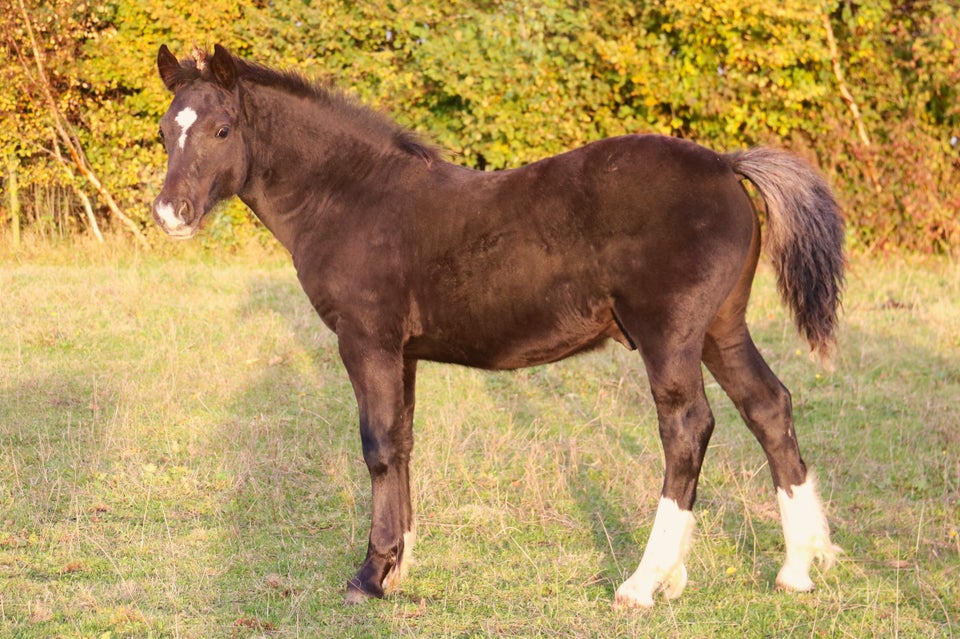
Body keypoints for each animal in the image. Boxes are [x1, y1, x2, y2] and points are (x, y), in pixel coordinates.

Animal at [148, 45, 840, 608]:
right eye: (163, 132)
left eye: (222, 128)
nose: (170, 213)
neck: (353, 197)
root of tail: (725, 163)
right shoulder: (403, 352)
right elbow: (403, 442)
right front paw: (399, 566)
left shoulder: (366, 341)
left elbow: (377, 447)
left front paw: (369, 576)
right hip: (721, 330)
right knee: (769, 407)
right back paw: (797, 570)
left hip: (670, 339)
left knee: (688, 429)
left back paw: (646, 582)